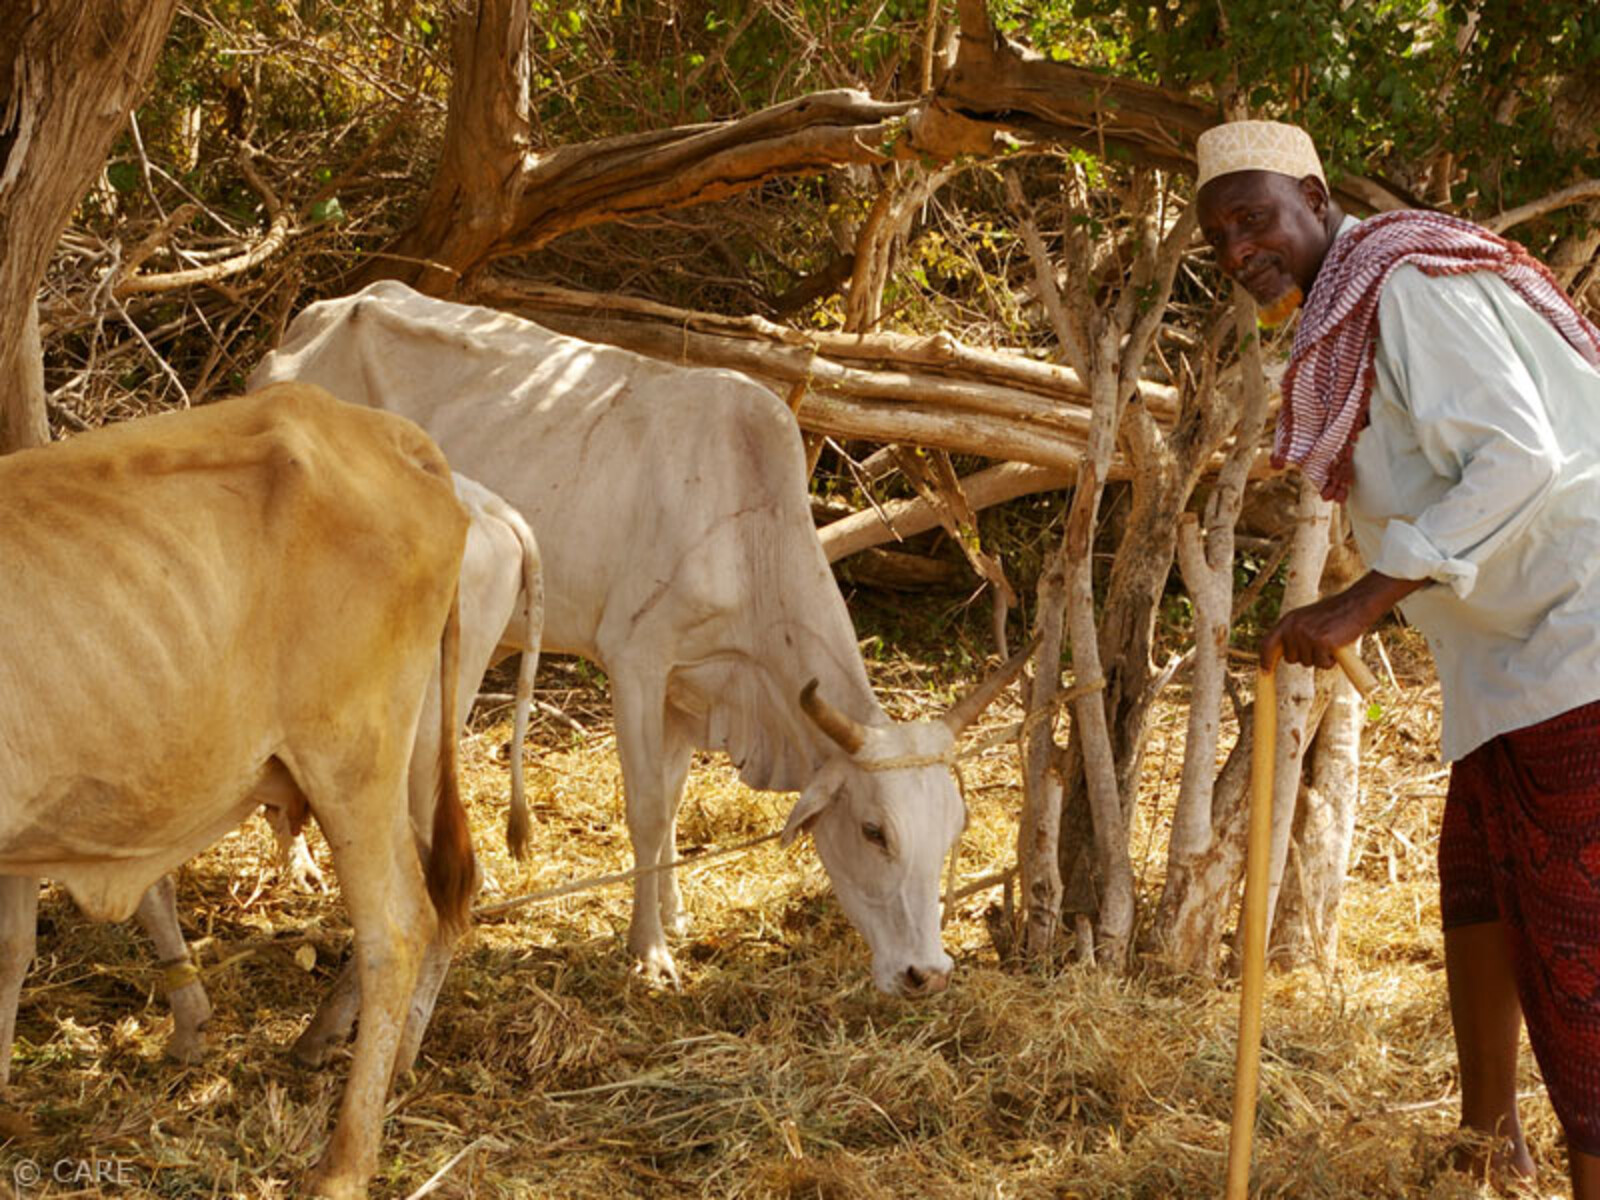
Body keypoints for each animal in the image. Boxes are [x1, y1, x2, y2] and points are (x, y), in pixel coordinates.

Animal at [0, 387, 470, 1200]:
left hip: (351, 757)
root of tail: (380, 430)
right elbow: (11, 951)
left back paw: (344, 1164)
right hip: (407, 761)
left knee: (397, 928)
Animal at [252, 280, 1024, 998]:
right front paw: (649, 950)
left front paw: (675, 914)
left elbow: (674, 799)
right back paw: (301, 864)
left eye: (953, 829)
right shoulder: (636, 663)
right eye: (874, 831)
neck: (748, 530)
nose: (927, 973)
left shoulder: (690, 689)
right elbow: (648, 810)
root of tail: (318, 319)